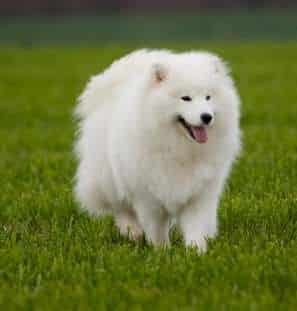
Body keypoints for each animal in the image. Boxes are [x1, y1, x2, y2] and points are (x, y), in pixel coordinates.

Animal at [74, 49, 240, 254]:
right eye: (186, 98)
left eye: (208, 97)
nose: (206, 117)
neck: (180, 149)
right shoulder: (148, 197)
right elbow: (156, 228)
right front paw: (162, 251)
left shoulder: (199, 193)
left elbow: (196, 225)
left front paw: (196, 251)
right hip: (109, 178)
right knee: (120, 207)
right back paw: (132, 232)